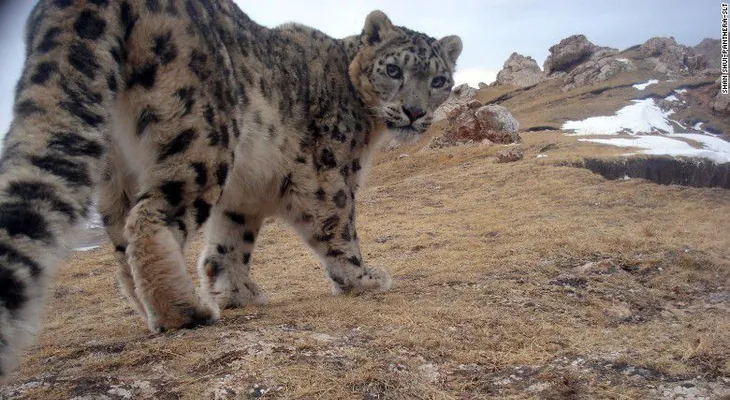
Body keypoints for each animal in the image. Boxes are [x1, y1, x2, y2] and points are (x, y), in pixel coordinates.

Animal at [0, 0, 462, 377]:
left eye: (439, 80)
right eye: (393, 70)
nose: (414, 111)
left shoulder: (243, 199)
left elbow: (229, 244)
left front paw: (236, 292)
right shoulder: (328, 174)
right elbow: (338, 225)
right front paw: (363, 278)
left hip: (116, 174)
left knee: (121, 240)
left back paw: (154, 307)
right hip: (202, 137)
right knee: (151, 216)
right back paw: (185, 311)